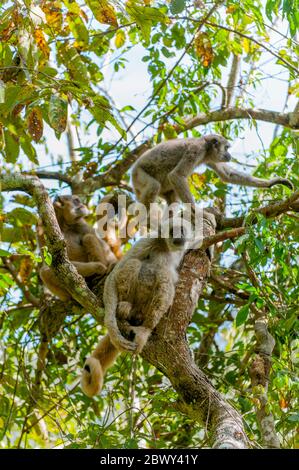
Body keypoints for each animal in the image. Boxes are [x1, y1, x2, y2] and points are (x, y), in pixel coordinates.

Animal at [80, 216, 199, 396]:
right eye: (173, 231)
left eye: (182, 231)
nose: (180, 238)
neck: (165, 247)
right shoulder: (148, 240)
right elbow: (115, 274)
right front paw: (113, 330)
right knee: (134, 264)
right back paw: (124, 308)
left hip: (144, 311)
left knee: (164, 277)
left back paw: (145, 329)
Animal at [132, 133, 294, 208]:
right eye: (227, 148)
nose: (229, 155)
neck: (206, 146)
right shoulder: (196, 149)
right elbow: (177, 175)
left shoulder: (209, 157)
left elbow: (227, 175)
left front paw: (273, 182)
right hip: (139, 175)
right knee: (153, 186)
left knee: (171, 198)